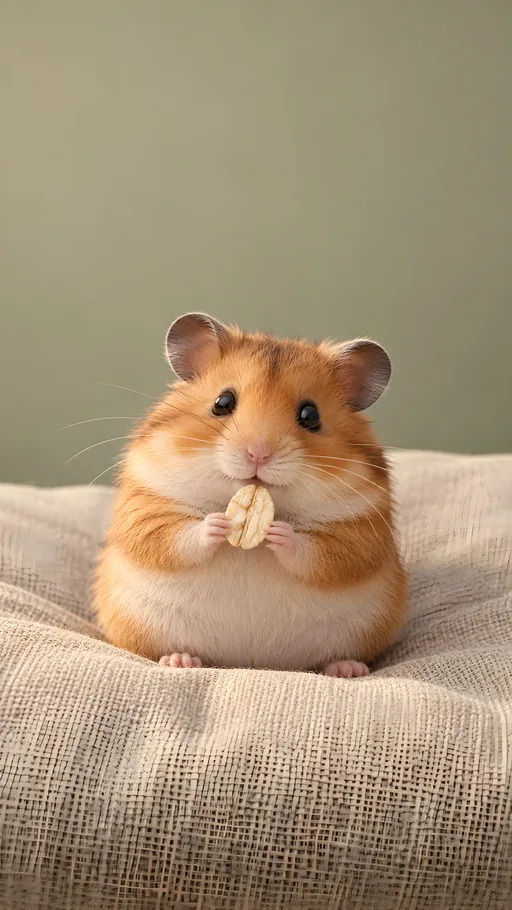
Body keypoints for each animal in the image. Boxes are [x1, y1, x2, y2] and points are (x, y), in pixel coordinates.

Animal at [94, 312, 407, 677]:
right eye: (223, 402)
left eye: (310, 415)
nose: (258, 453)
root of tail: (246, 662)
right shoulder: (146, 508)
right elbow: (175, 537)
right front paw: (219, 523)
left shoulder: (360, 533)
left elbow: (320, 554)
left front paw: (277, 531)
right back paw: (180, 660)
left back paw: (346, 669)